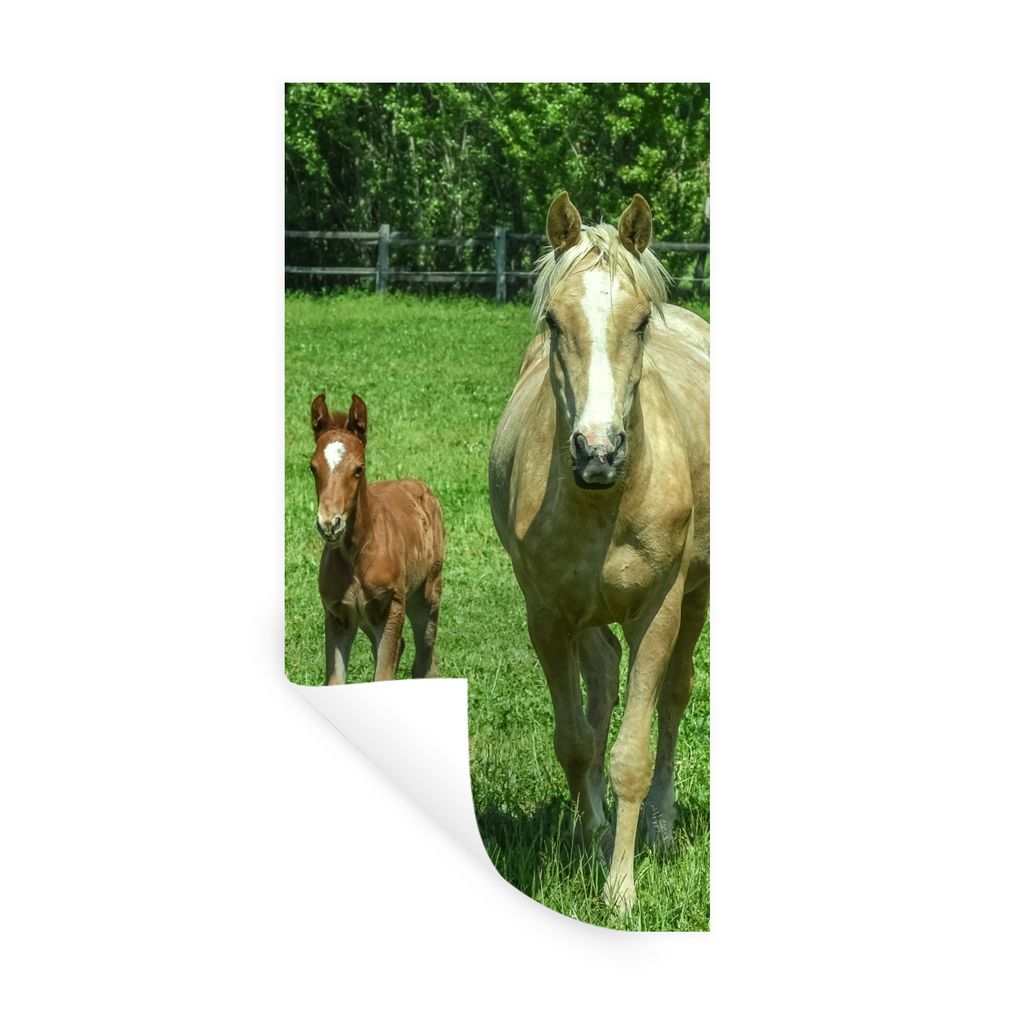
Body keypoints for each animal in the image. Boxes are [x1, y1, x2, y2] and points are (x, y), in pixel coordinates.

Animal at [309, 393, 445, 684]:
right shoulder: (337, 615)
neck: (357, 554)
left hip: (427, 596)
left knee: (425, 660)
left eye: (358, 469)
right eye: (313, 467)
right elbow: (335, 681)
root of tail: (418, 485)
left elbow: (383, 676)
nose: (329, 524)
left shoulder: (392, 608)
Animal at [488, 192, 710, 915]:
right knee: (603, 679)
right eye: (554, 321)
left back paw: (661, 832)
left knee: (673, 696)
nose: (598, 451)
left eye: (639, 321)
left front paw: (620, 889)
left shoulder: (658, 611)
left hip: (696, 593)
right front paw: (590, 846)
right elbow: (578, 743)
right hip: (584, 613)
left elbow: (631, 753)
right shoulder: (547, 617)